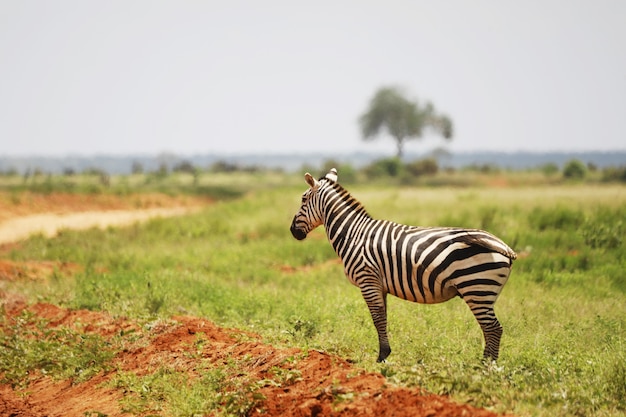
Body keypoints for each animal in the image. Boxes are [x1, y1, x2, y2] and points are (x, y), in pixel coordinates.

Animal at [290, 167, 516, 362]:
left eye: (303, 199)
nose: (293, 231)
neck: (354, 234)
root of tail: (504, 245)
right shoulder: (379, 285)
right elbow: (383, 317)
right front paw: (385, 353)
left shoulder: (367, 279)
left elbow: (377, 318)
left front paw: (381, 358)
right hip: (483, 292)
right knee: (491, 329)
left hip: (477, 287)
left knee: (493, 329)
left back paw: (485, 368)